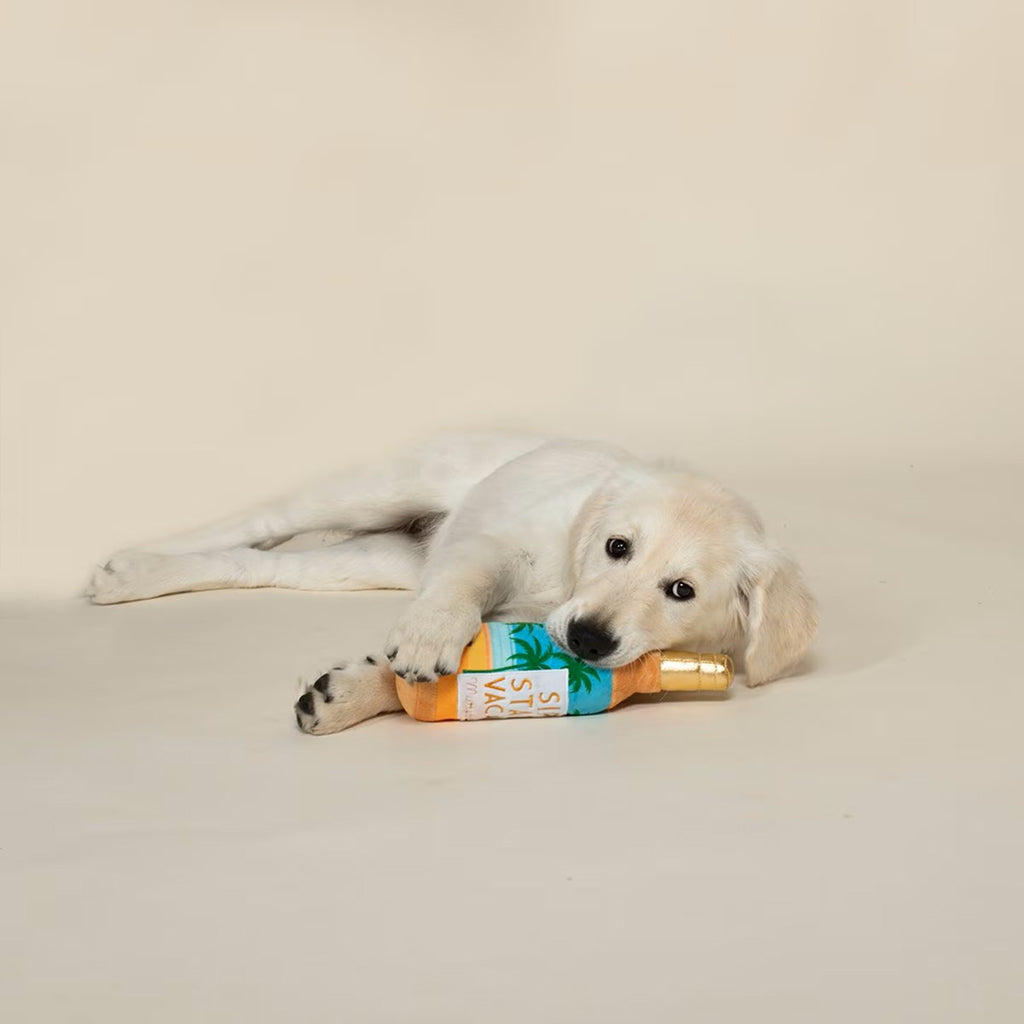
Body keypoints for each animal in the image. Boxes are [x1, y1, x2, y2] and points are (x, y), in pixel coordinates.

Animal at [86, 433, 817, 734]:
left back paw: (140, 574)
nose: (586, 639)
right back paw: (130, 565)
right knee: (262, 522)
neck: (562, 585)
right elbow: (466, 584)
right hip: (375, 494)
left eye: (681, 591)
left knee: (264, 564)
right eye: (617, 547)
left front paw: (347, 696)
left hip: (376, 559)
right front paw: (430, 634)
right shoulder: (491, 546)